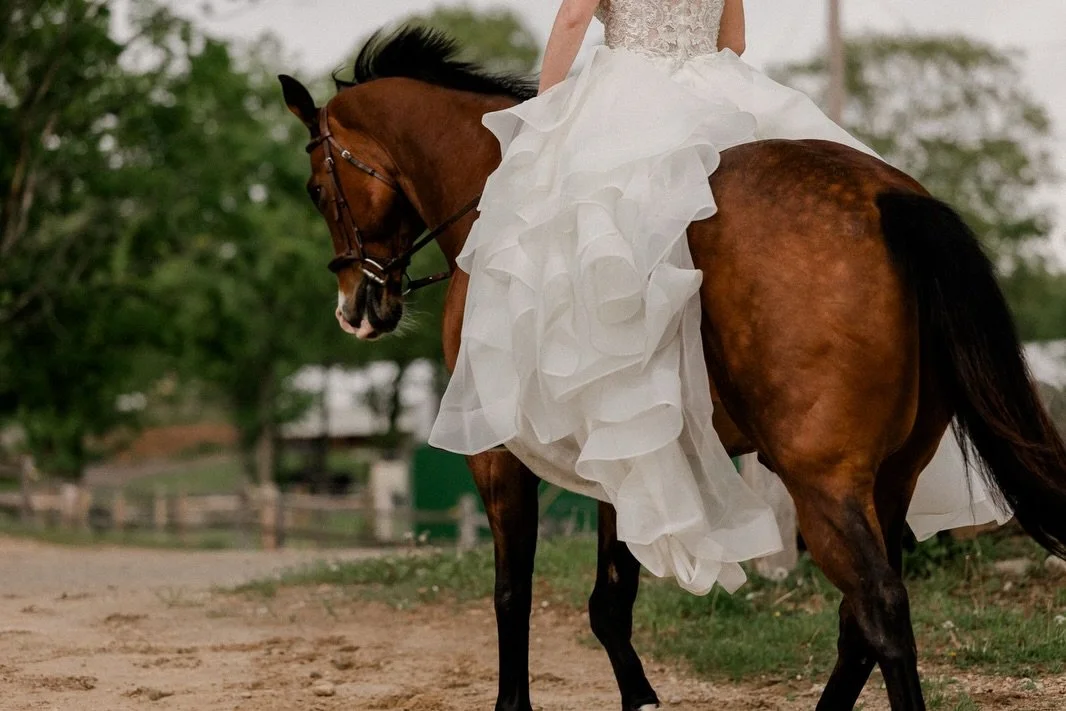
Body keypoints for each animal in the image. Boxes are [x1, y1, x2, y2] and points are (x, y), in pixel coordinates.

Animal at [278, 27, 1066, 711]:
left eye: (317, 188)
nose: (357, 308)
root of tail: (884, 196)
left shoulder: (499, 452)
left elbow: (511, 591)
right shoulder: (621, 454)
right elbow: (610, 598)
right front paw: (641, 698)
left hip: (823, 480)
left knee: (879, 609)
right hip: (894, 475)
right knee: (860, 621)